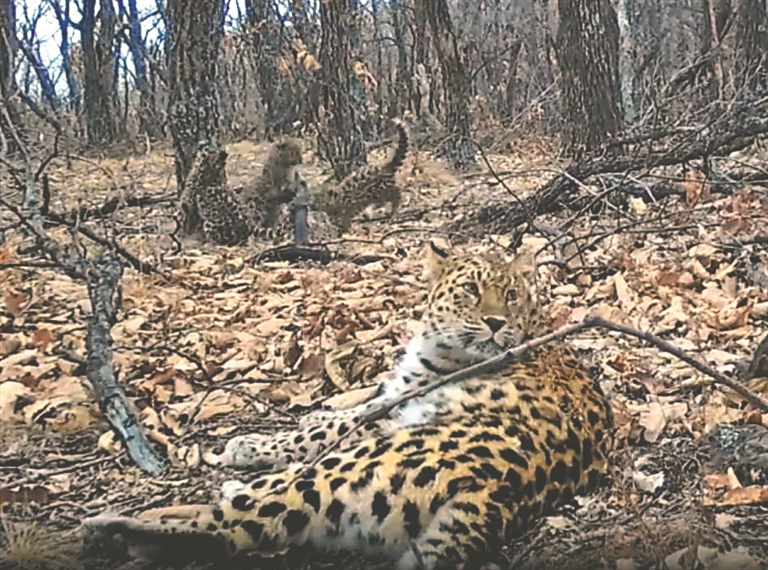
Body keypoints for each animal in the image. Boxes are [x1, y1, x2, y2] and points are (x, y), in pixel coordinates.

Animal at [83, 243, 613, 569]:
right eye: (470, 291)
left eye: (512, 295)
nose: (497, 323)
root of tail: (497, 493)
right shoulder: (395, 396)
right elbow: (345, 411)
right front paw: (314, 412)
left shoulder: (399, 402)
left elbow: (331, 425)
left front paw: (250, 443)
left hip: (348, 468)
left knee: (235, 521)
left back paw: (119, 525)